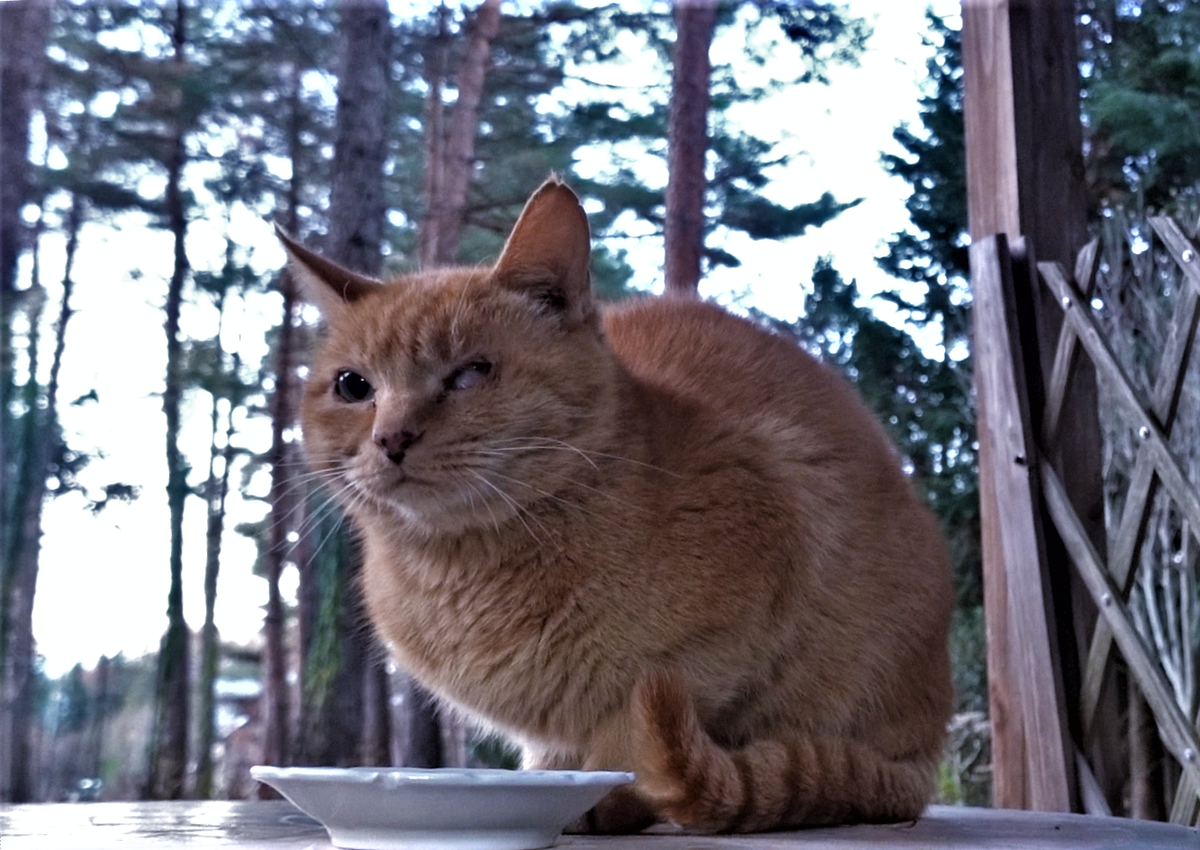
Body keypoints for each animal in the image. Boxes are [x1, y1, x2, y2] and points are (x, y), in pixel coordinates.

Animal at [280, 176, 955, 835]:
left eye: (471, 373)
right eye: (353, 386)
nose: (390, 438)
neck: (465, 575)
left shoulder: (720, 636)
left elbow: (629, 736)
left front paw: (605, 794)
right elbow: (556, 748)